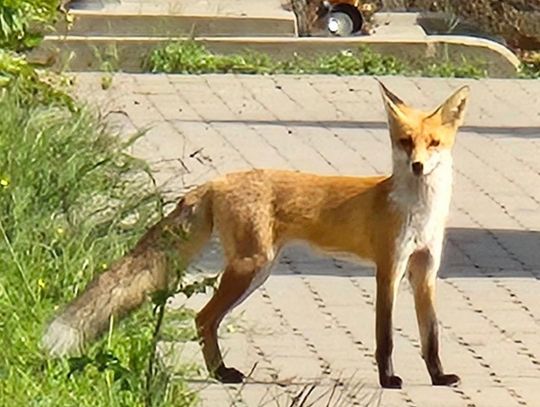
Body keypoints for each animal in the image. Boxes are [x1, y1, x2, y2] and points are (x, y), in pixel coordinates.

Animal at [43, 81, 468, 390]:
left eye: (434, 144)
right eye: (405, 142)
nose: (417, 166)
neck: (418, 209)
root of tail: (216, 181)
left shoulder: (425, 271)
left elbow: (431, 335)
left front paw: (438, 377)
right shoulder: (388, 269)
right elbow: (385, 336)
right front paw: (388, 379)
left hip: (257, 272)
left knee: (206, 319)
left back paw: (220, 372)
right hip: (252, 266)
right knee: (203, 318)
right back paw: (221, 373)